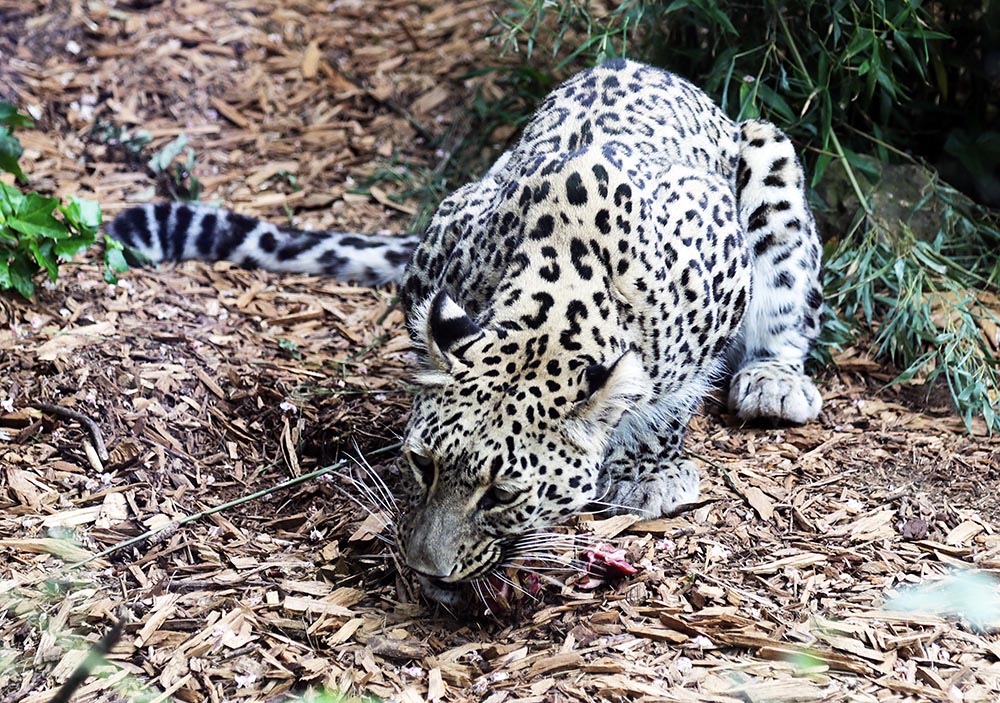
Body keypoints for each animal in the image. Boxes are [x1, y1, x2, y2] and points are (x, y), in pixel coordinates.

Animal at [110, 59, 824, 606]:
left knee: (791, 305)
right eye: (423, 465)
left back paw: (775, 382)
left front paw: (649, 471)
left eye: (502, 494)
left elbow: (672, 401)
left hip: (770, 160)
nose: (424, 566)